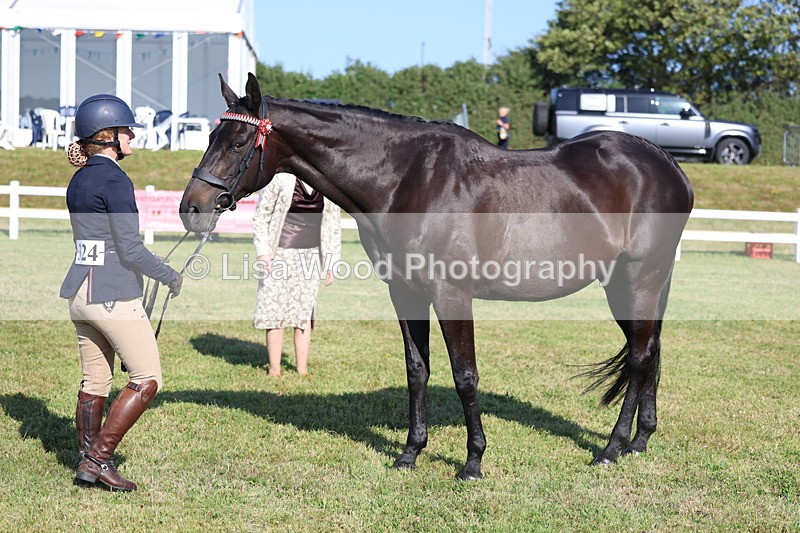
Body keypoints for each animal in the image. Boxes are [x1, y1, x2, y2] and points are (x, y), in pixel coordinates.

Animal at [179, 73, 694, 480]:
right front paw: (410, 453)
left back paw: (612, 448)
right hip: (624, 285)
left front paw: (473, 462)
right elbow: (417, 371)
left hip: (640, 279)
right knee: (649, 350)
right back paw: (640, 441)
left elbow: (465, 375)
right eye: (209, 137)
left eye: (238, 143)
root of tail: (668, 164)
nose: (191, 209)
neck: (406, 179)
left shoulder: (451, 294)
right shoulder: (405, 292)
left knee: (640, 355)